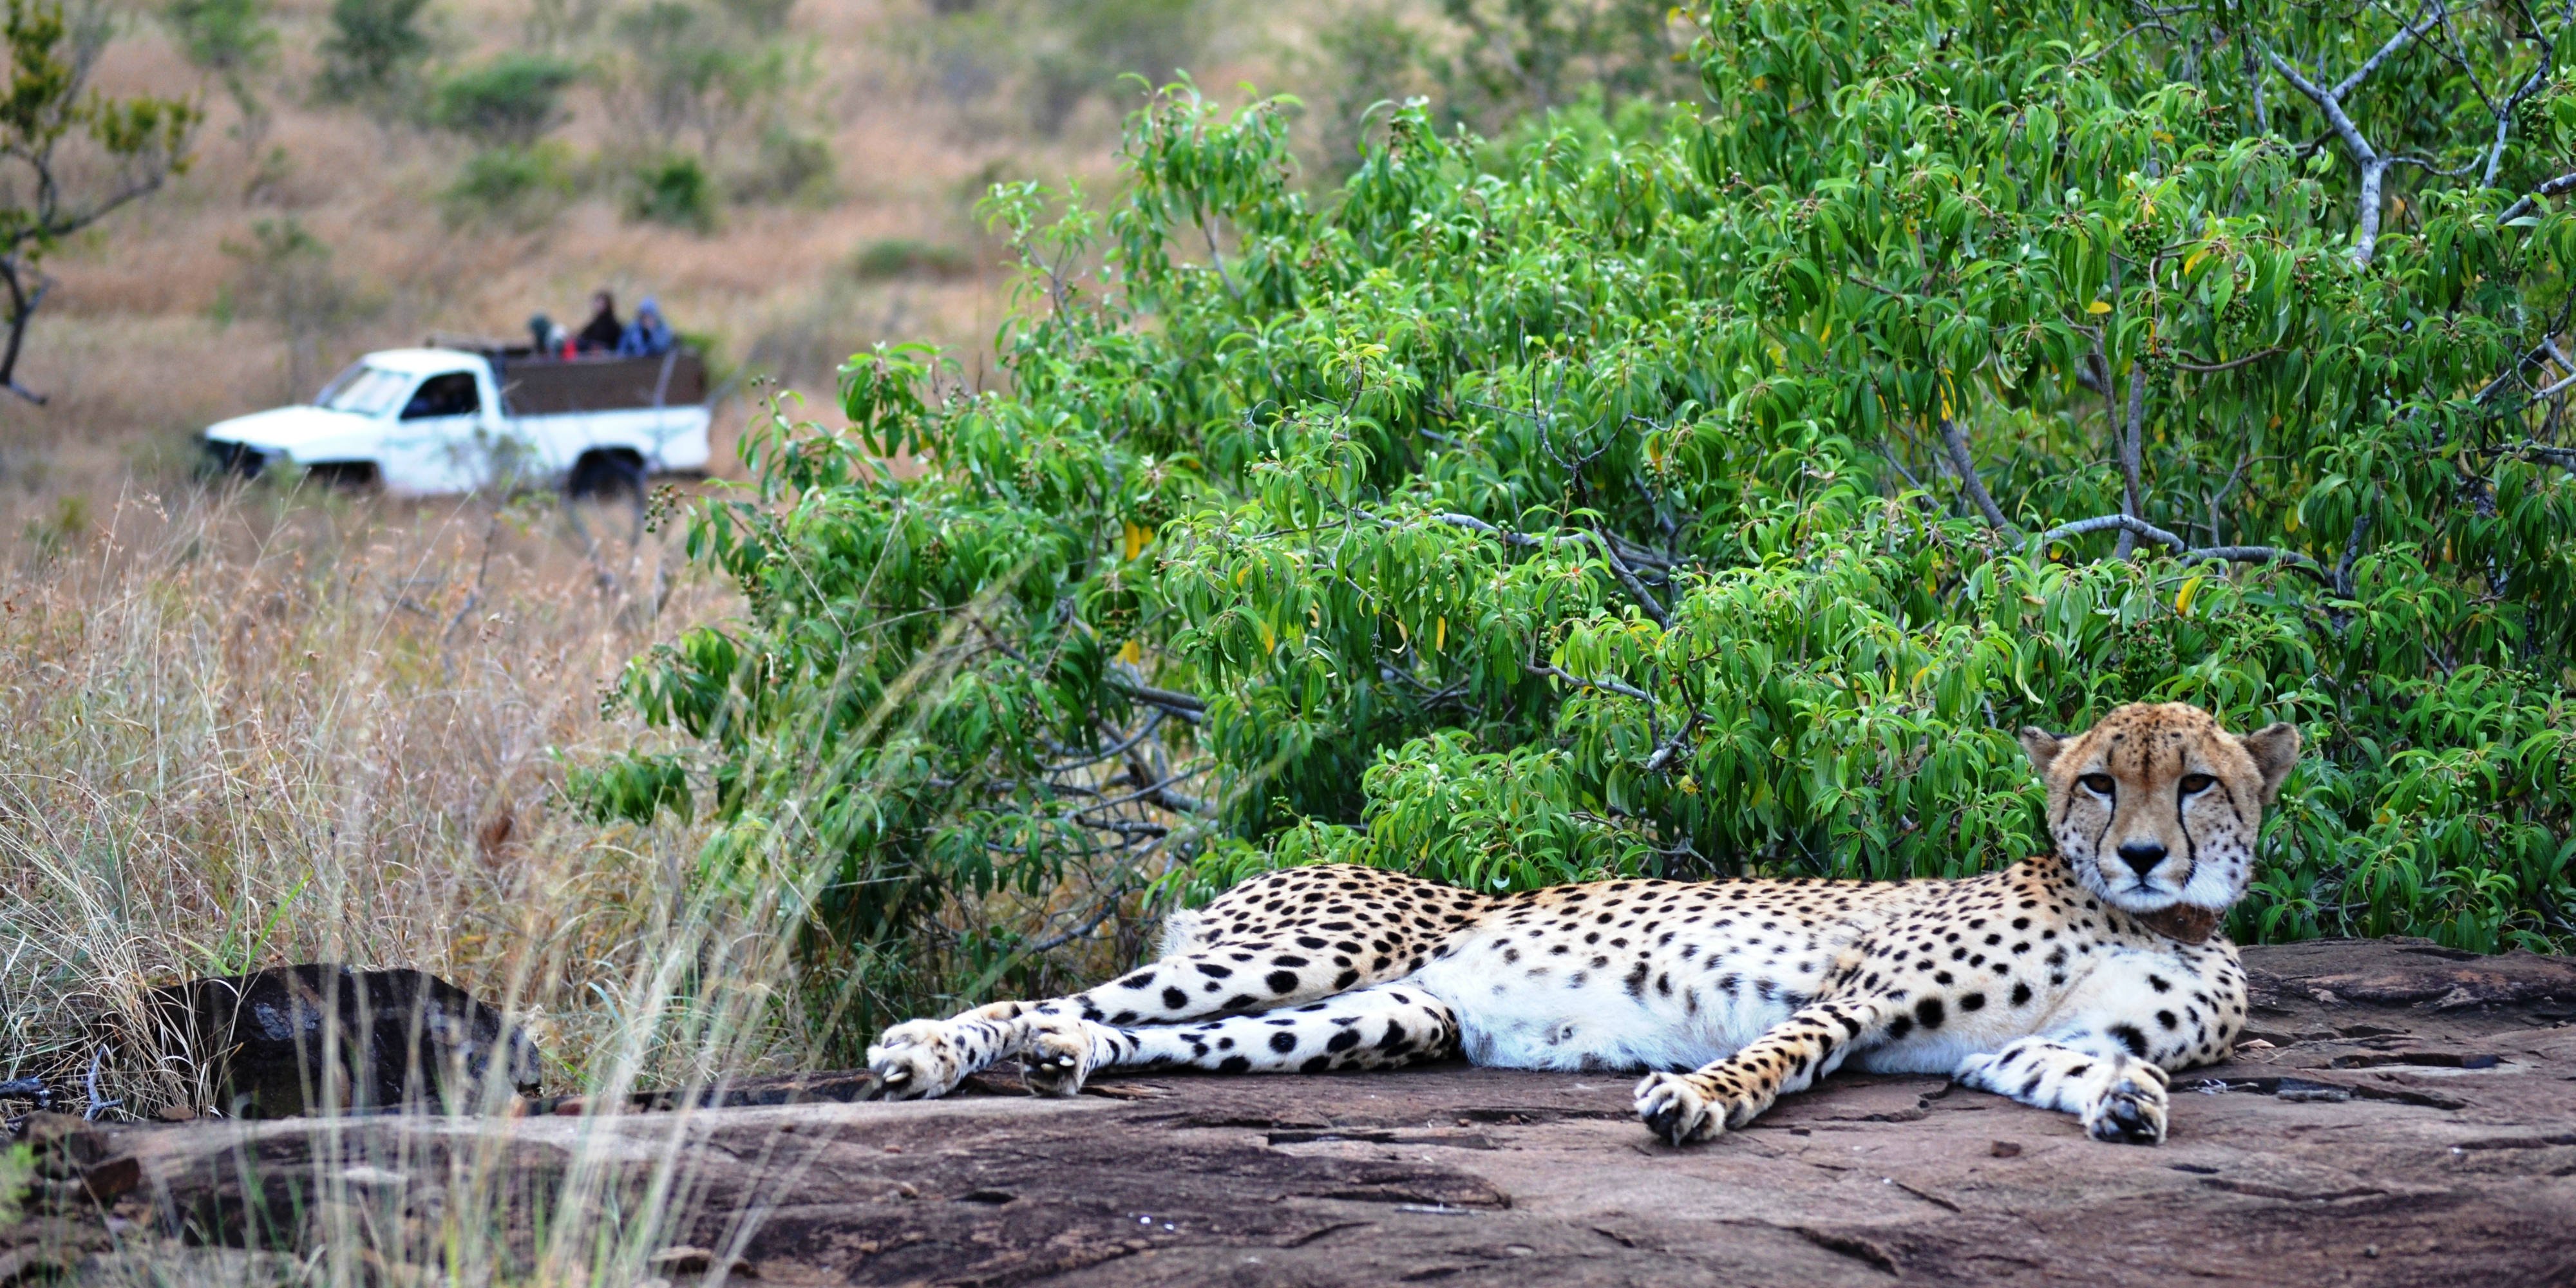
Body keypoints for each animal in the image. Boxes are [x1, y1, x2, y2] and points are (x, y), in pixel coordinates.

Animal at [860, 706, 2298, 1149]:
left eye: (2196, 781)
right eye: (2100, 780)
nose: (2144, 853)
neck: (2142, 921)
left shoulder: (1993, 1049)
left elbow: (2072, 1061)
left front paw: (2127, 1105)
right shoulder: (1859, 997)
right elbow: (1773, 1056)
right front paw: (1690, 1103)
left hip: (1384, 1017)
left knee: (1144, 1034)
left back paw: (1063, 1065)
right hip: (1306, 946)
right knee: (1063, 996)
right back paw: (930, 1050)